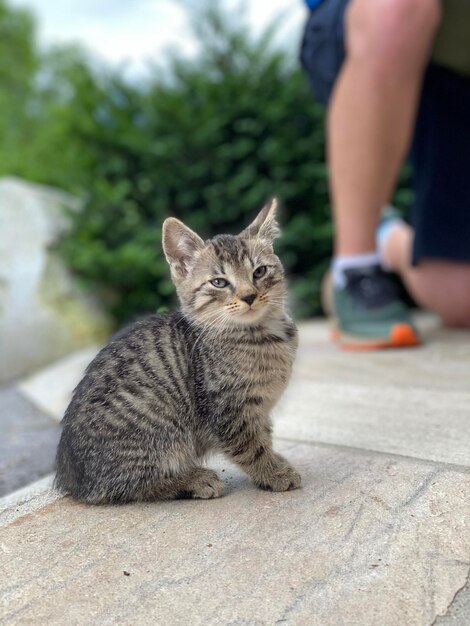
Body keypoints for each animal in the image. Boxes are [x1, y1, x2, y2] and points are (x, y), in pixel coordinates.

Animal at [53, 197, 300, 500]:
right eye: (219, 282)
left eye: (260, 271)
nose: (249, 296)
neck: (261, 335)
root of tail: (71, 480)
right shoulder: (226, 412)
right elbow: (250, 447)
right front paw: (273, 473)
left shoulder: (258, 411)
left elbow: (264, 437)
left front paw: (276, 461)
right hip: (160, 431)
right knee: (127, 486)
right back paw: (194, 480)